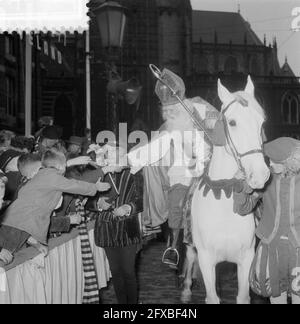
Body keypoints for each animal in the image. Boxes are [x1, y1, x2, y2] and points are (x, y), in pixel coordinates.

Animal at [190, 76, 272, 304]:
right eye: (233, 122)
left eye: (262, 121)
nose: (261, 174)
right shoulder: (206, 260)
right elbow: (212, 296)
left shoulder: (246, 259)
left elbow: (243, 296)